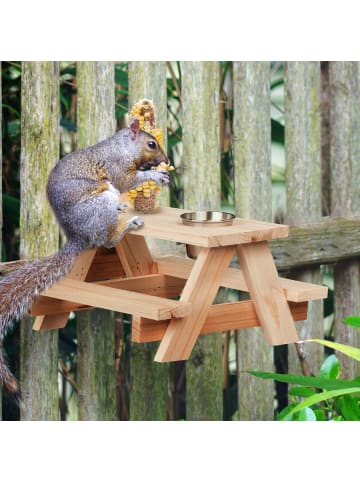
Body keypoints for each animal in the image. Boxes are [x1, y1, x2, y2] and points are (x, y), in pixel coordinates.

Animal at [0, 117, 170, 396]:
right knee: (106, 240)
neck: (121, 147)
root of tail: (77, 236)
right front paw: (155, 175)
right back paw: (127, 225)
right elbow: (127, 181)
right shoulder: (117, 168)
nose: (164, 160)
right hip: (101, 203)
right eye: (151, 144)